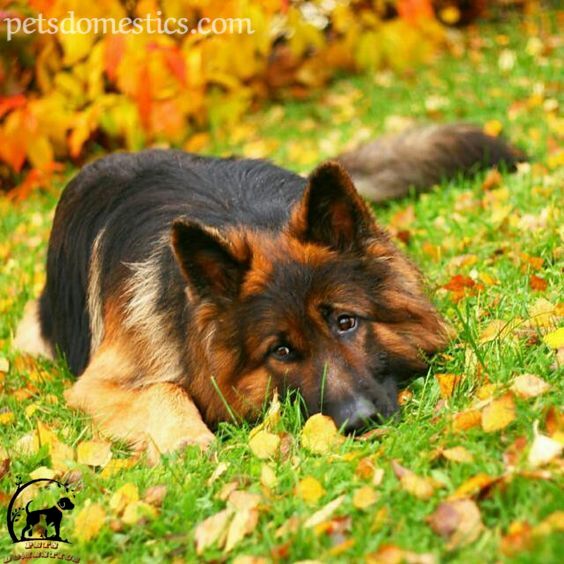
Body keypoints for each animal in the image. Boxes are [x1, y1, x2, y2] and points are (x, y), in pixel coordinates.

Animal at [14, 123, 524, 458]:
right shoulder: (98, 382)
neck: (247, 217)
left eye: (346, 322)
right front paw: (187, 439)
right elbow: (164, 389)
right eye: (280, 351)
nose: (360, 421)